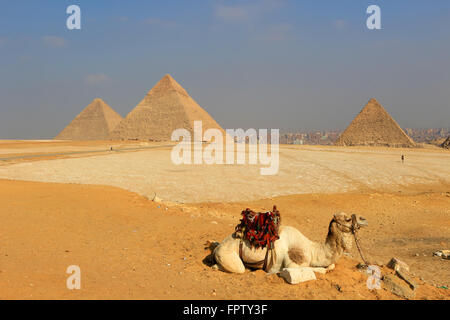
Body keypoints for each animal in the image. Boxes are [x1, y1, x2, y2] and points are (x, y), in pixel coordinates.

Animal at [213, 212, 368, 276]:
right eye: (348, 219)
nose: (364, 219)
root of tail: (216, 249)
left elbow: (331, 265)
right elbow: (319, 270)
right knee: (239, 268)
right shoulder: (291, 263)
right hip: (227, 254)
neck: (312, 250)